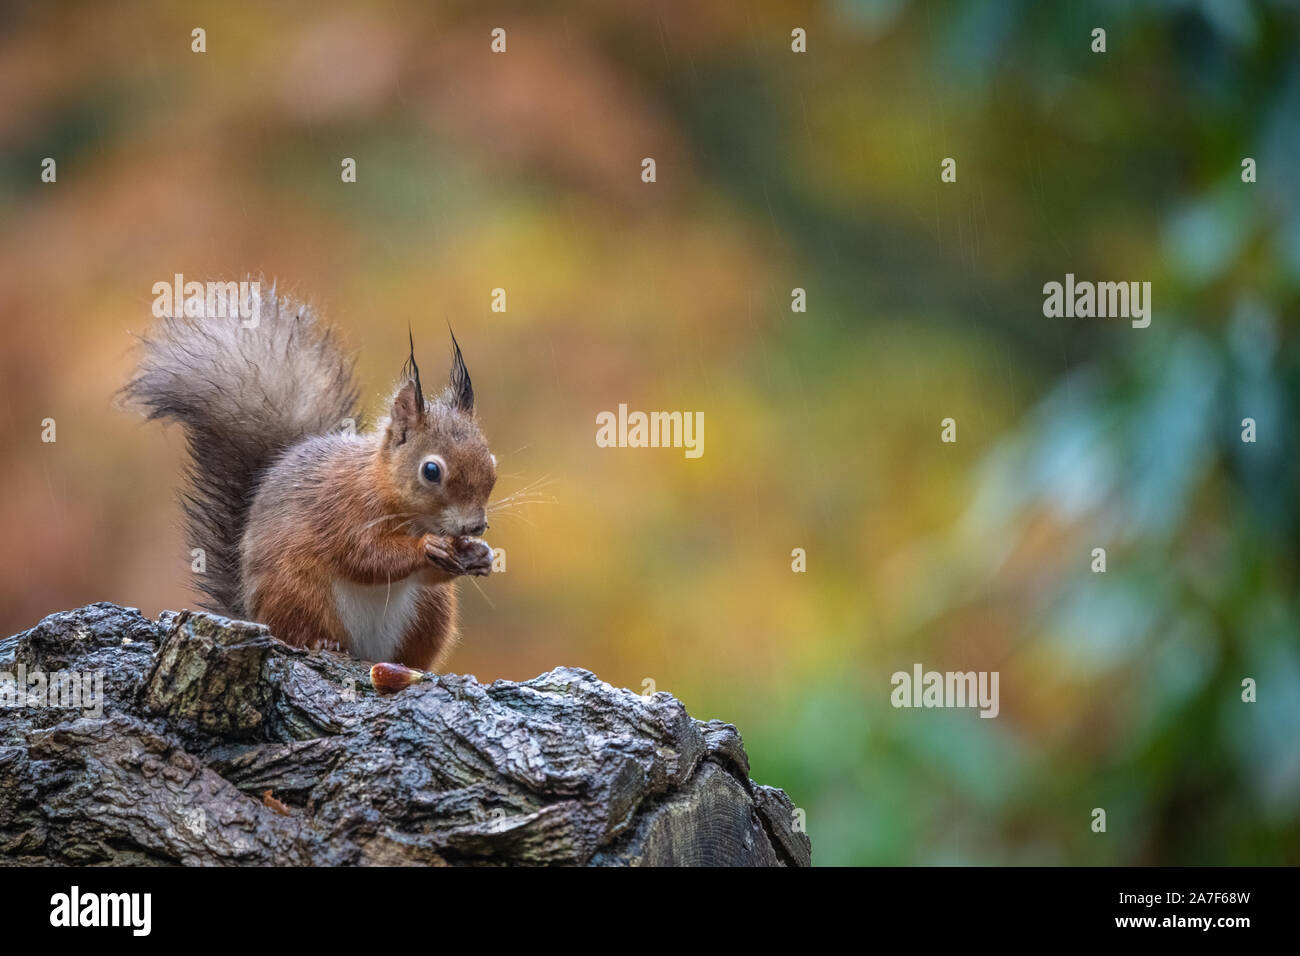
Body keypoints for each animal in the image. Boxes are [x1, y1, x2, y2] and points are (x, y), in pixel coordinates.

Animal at [124, 287, 496, 671]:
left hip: (430, 611)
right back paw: (322, 643)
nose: (475, 526)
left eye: (491, 460)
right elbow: (366, 556)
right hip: (297, 591)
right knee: (298, 629)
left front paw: (480, 555)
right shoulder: (343, 511)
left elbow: (424, 573)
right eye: (431, 471)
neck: (382, 486)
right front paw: (427, 547)